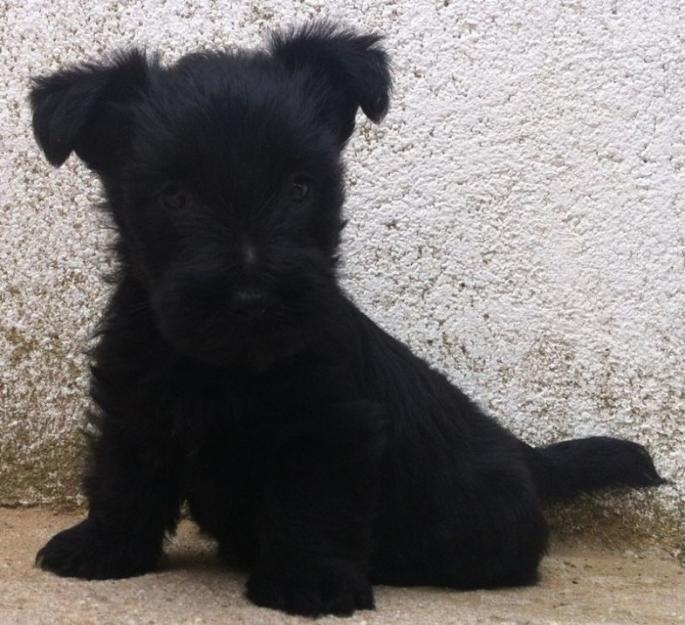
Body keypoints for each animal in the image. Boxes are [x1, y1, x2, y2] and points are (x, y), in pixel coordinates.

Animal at [29, 22, 664, 616]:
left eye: (299, 186)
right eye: (175, 196)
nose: (254, 298)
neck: (228, 366)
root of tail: (522, 452)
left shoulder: (328, 423)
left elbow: (315, 501)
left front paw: (310, 579)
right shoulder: (132, 398)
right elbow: (123, 473)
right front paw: (102, 547)